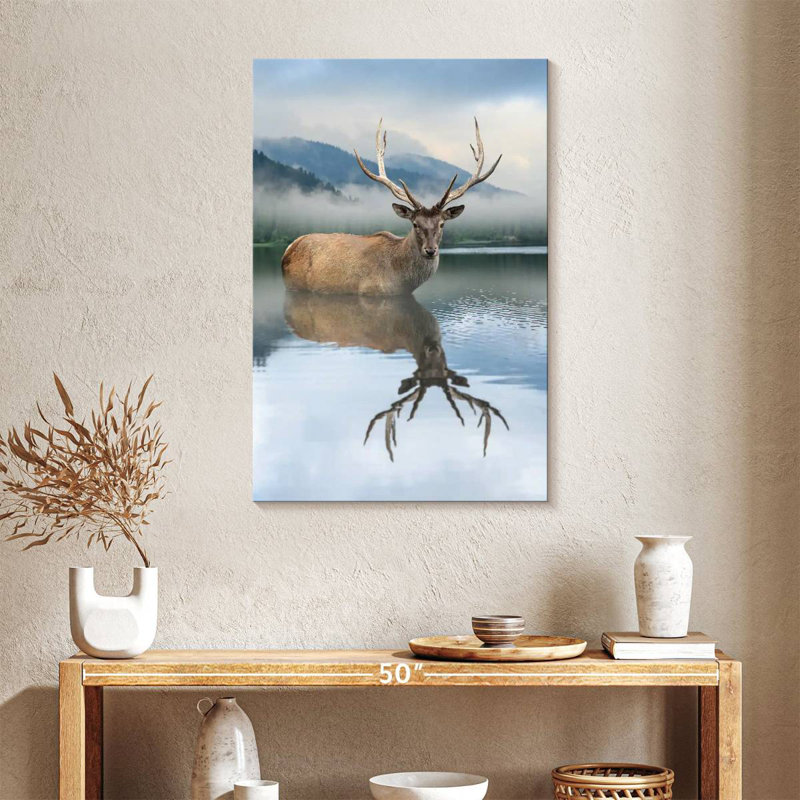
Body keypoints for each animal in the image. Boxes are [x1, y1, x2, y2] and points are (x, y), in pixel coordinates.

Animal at [281, 118, 502, 296]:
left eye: (442, 224)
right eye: (415, 224)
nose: (431, 250)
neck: (401, 282)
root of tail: (290, 248)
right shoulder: (371, 292)